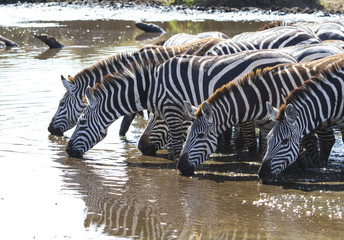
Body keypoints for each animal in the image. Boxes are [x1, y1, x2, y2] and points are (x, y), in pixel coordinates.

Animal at [66, 50, 296, 159]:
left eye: (82, 122)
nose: (67, 151)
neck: (150, 87)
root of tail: (290, 57)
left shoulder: (173, 111)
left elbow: (176, 145)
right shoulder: (170, 113)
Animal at [179, 52, 344, 175]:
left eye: (200, 136)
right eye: (187, 131)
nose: (180, 167)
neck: (262, 97)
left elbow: (299, 153)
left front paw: (302, 170)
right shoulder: (267, 130)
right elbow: (266, 151)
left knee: (327, 141)